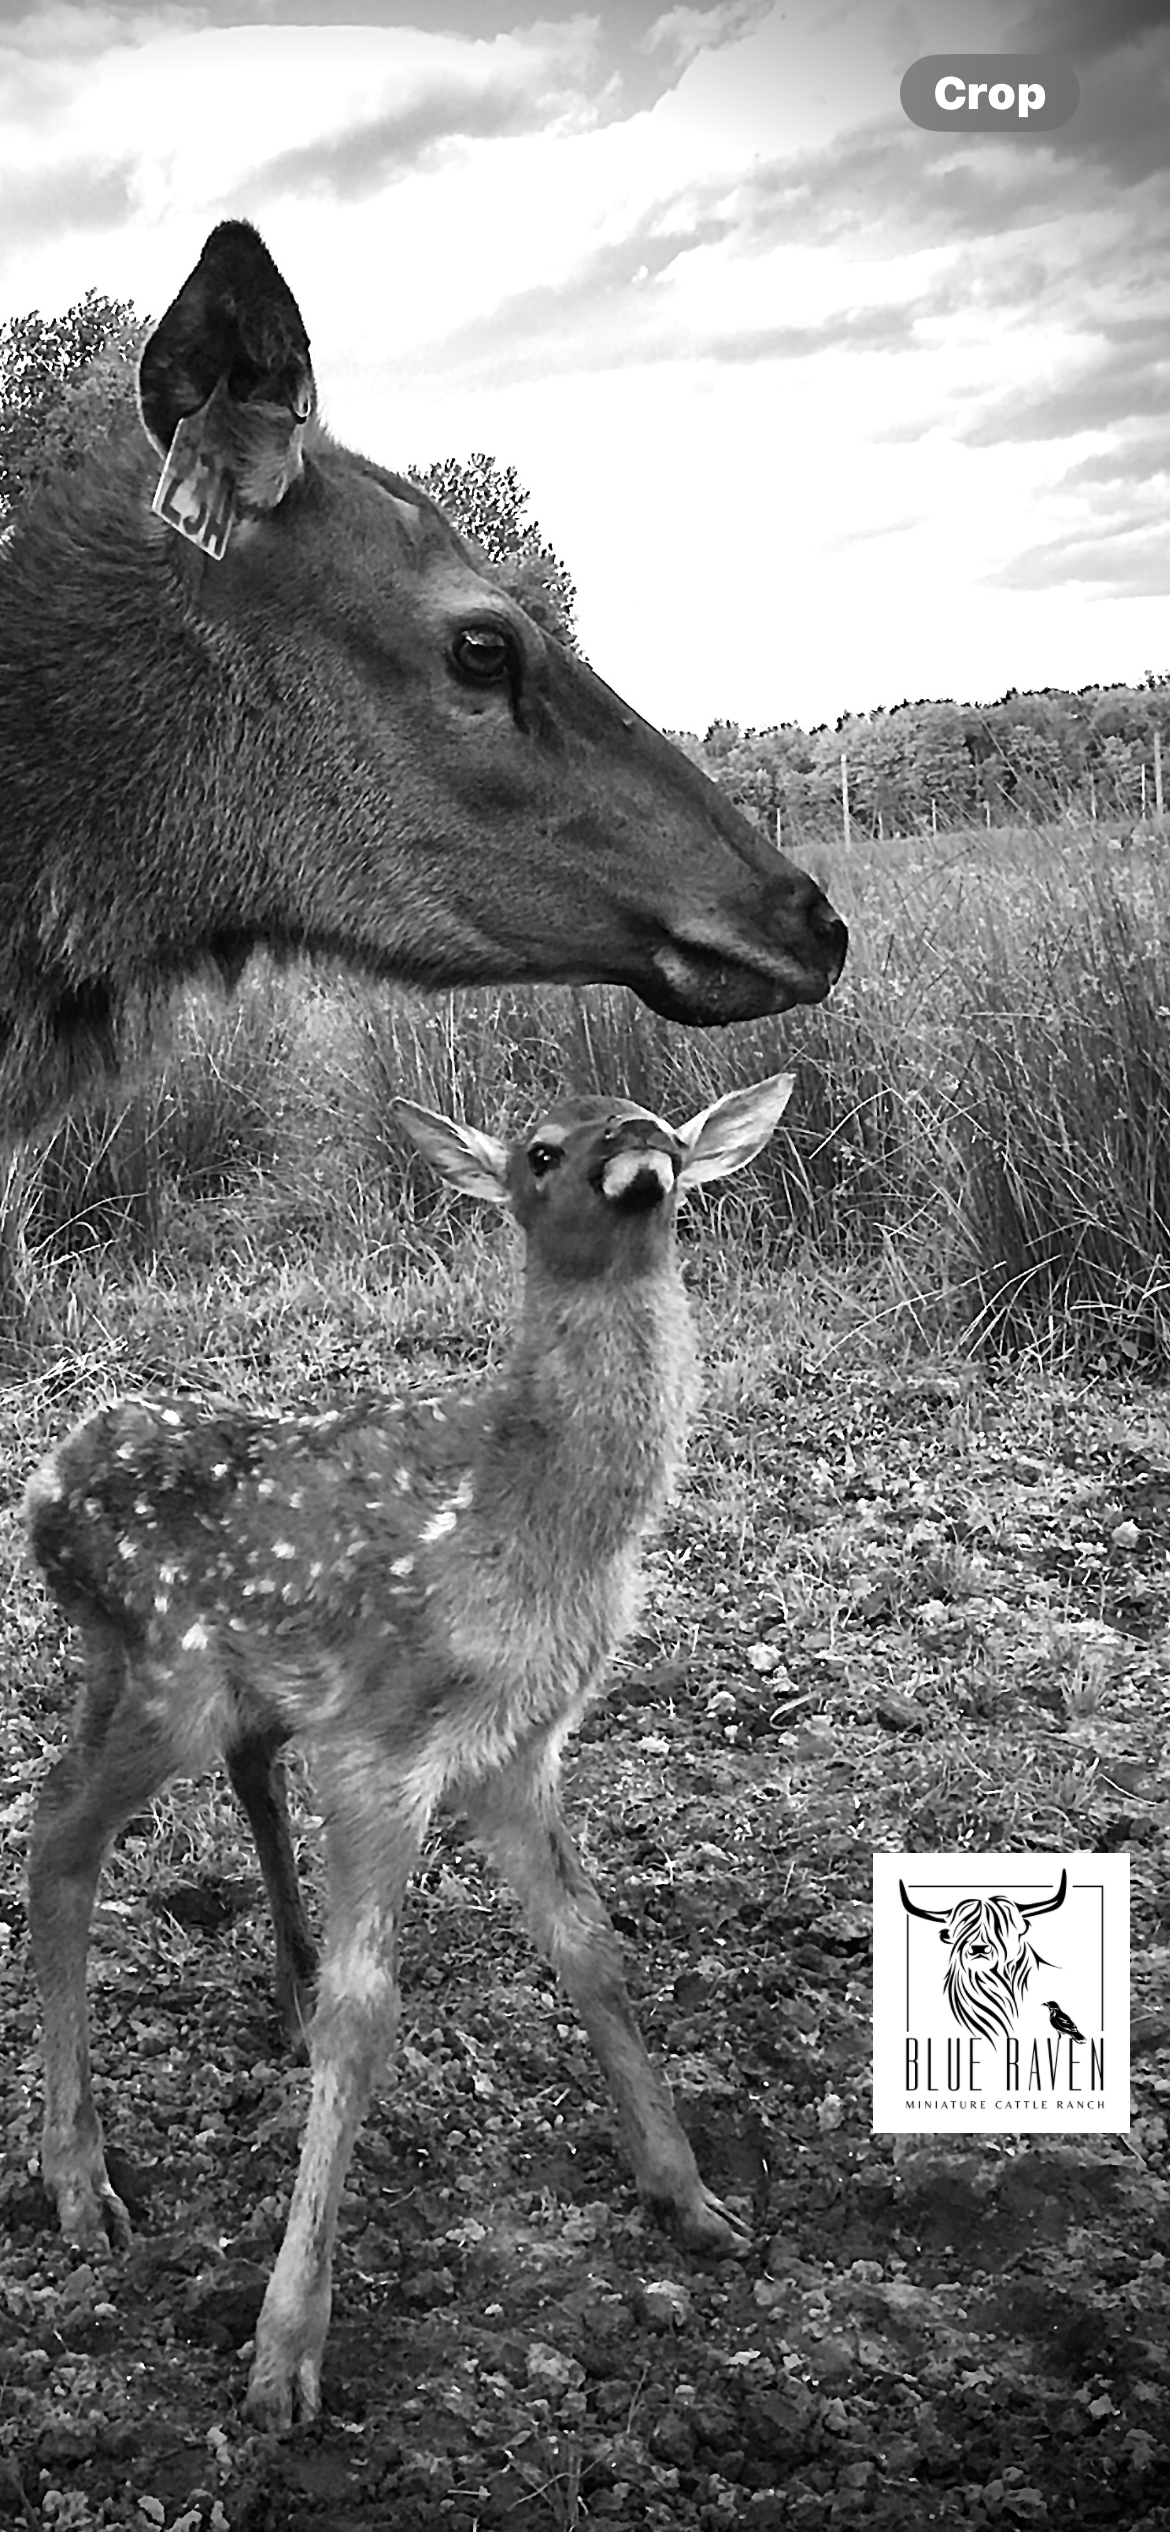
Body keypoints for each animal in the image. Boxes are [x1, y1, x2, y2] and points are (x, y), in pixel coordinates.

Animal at [25, 1069, 794, 2433]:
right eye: (539, 1150)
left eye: (660, 1116)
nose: (639, 1146)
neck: (535, 1516)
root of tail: (42, 1494)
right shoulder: (381, 1745)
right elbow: (369, 2011)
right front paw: (285, 2355)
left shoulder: (517, 1748)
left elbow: (590, 1945)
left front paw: (691, 2197)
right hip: (169, 1675)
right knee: (58, 1839)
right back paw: (79, 2182)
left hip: (184, 1681)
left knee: (187, 1790)